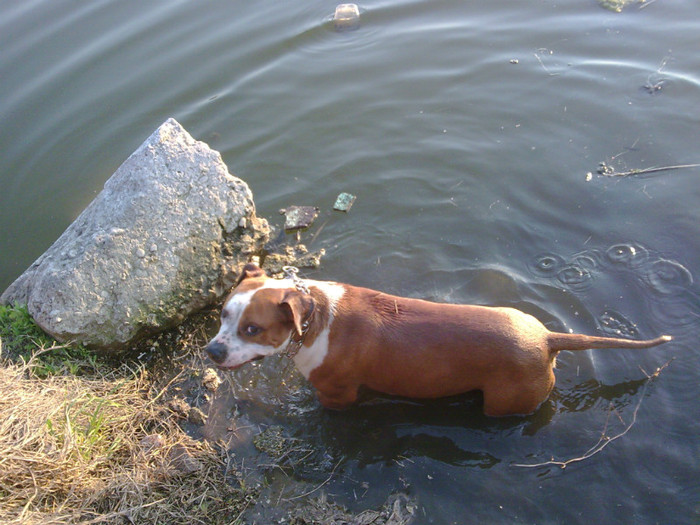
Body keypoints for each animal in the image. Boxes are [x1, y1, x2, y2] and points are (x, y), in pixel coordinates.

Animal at [204, 264, 672, 416]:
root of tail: (546, 339)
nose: (212, 350)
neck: (315, 316)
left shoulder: (337, 397)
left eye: (252, 329)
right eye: (223, 315)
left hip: (505, 402)